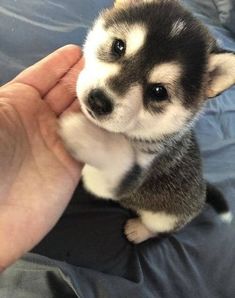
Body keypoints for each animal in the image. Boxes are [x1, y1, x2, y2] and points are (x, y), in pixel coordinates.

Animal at [59, 0, 234, 244]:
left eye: (158, 91)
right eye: (118, 47)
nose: (99, 101)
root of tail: (202, 191)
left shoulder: (127, 179)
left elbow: (114, 161)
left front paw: (88, 138)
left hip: (165, 217)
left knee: (160, 229)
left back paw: (139, 231)